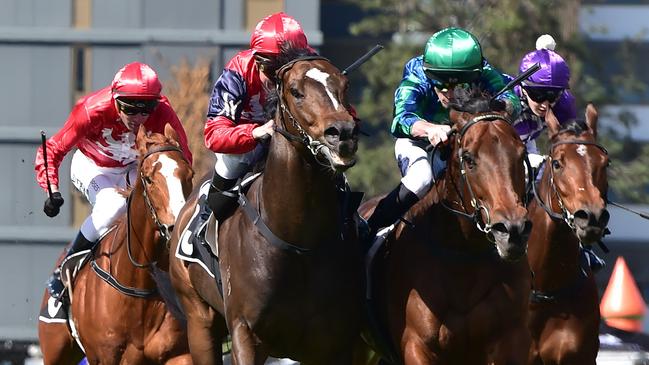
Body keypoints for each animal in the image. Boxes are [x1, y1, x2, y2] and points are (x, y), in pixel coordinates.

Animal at [37, 124, 192, 364]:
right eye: (148, 179)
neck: (139, 287)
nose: (174, 228)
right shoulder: (106, 356)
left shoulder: (179, 353)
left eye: (189, 175)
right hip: (56, 350)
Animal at [167, 52, 362, 364]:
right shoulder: (245, 333)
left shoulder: (333, 343)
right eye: (296, 91)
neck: (298, 239)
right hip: (199, 319)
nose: (343, 133)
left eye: (345, 86)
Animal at [360, 89, 532, 364]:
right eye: (469, 158)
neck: (462, 258)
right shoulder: (417, 345)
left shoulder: (512, 339)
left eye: (520, 153)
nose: (512, 230)